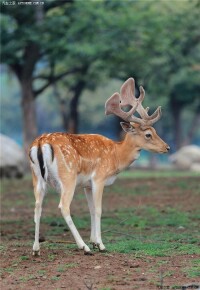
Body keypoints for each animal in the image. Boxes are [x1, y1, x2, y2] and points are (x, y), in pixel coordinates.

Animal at [28, 77, 170, 256]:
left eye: (155, 131)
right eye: (148, 134)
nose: (167, 147)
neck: (115, 156)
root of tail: (41, 143)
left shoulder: (87, 185)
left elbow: (90, 210)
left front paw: (94, 241)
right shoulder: (99, 178)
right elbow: (98, 209)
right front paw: (100, 244)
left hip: (37, 178)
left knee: (37, 206)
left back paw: (36, 249)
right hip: (68, 177)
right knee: (64, 206)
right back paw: (83, 247)